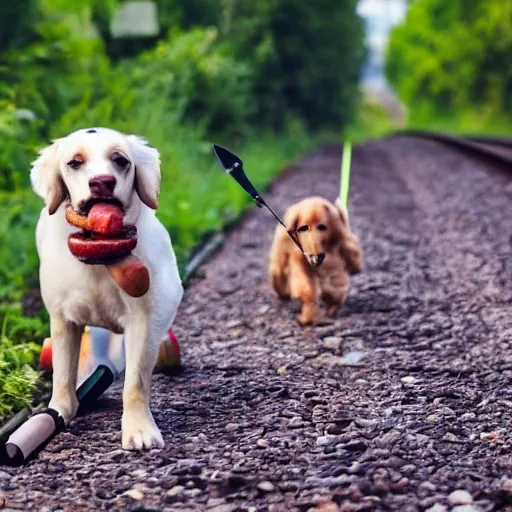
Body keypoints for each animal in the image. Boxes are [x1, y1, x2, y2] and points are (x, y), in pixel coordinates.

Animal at [30, 126, 182, 450]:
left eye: (120, 160)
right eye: (75, 162)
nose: (102, 181)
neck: (99, 257)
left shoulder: (142, 318)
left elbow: (135, 382)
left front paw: (139, 429)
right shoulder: (62, 320)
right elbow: (63, 375)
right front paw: (57, 413)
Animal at [268, 196, 364, 324]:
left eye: (321, 227)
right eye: (303, 228)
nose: (317, 256)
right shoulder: (297, 255)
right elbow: (305, 286)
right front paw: (309, 314)